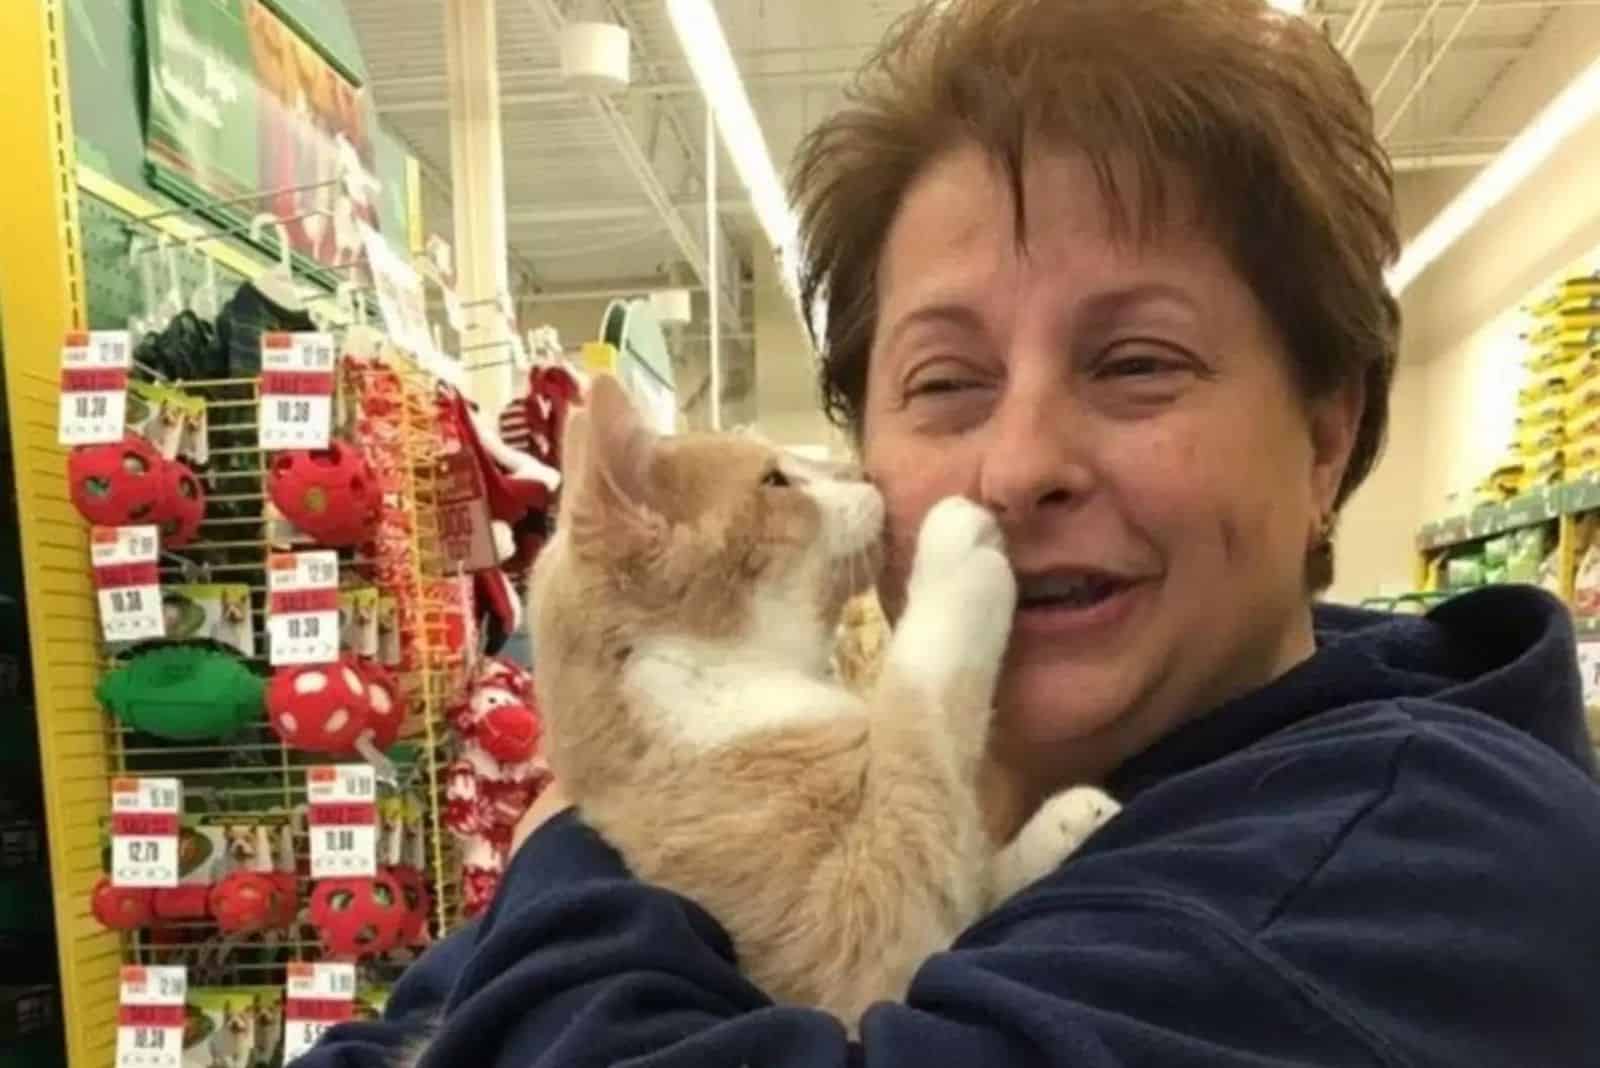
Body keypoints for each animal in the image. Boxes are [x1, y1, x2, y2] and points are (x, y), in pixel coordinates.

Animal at [521, 377, 1113, 1036]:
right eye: (776, 481)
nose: (863, 474)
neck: (715, 686)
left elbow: (972, 874)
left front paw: (1065, 822)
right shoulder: (859, 947)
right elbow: (916, 724)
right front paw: (959, 546)